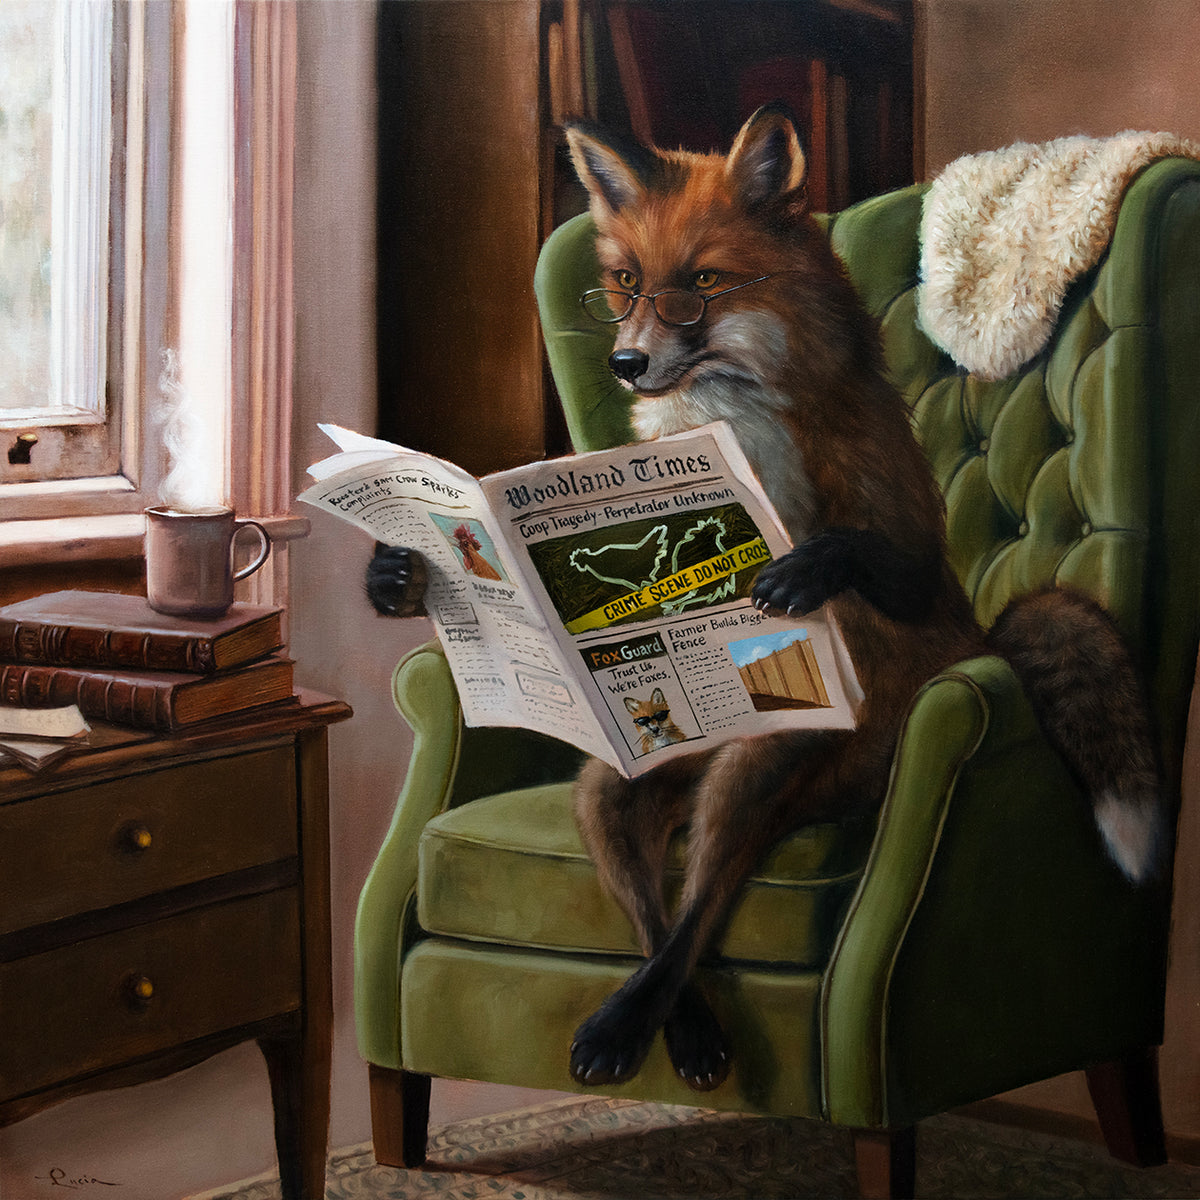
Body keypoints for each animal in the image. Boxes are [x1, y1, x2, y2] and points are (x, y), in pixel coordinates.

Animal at [363, 104, 1164, 1095]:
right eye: (625, 284)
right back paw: (674, 1031)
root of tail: (979, 641)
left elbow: (865, 554)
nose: (624, 363)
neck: (727, 421)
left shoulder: (909, 545)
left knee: (705, 896)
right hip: (617, 786)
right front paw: (401, 576)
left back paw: (640, 1030)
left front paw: (797, 574)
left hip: (775, 761)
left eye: (701, 284)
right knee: (659, 913)